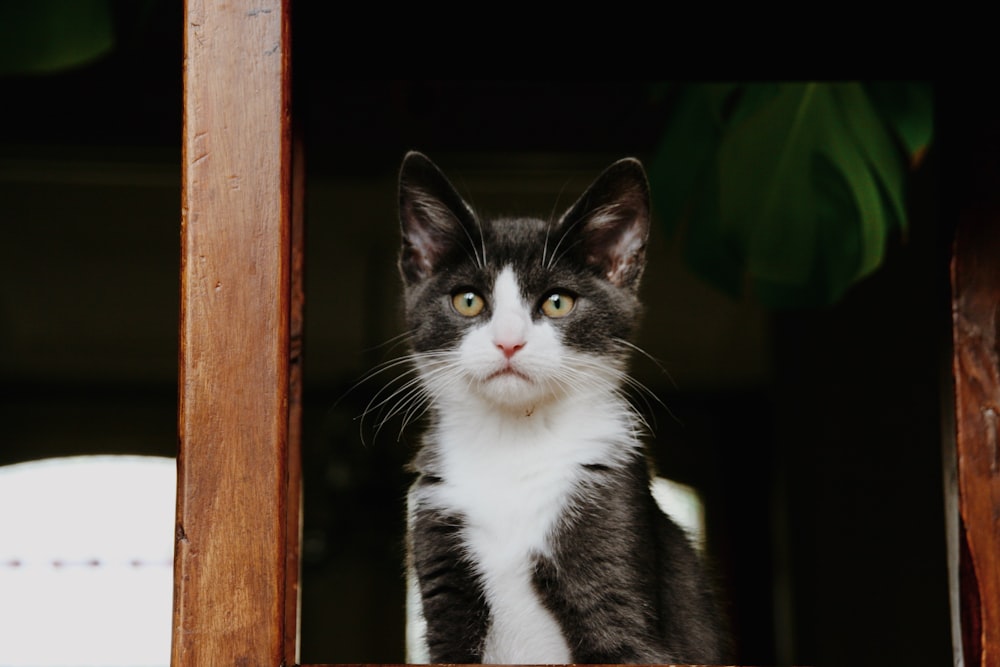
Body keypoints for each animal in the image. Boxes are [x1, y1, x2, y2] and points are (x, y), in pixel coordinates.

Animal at [394, 154, 732, 664]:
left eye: (557, 302)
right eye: (467, 300)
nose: (508, 341)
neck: (514, 444)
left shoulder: (613, 540)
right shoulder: (440, 551)